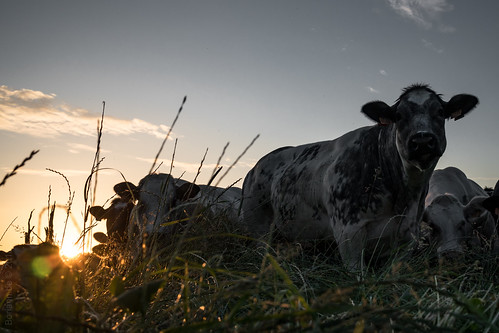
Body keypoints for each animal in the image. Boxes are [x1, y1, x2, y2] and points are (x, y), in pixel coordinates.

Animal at [242, 83, 480, 270]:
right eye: (399, 116)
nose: (422, 140)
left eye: (440, 112)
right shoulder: (349, 233)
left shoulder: (407, 236)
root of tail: (256, 166)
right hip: (257, 226)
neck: (402, 195)